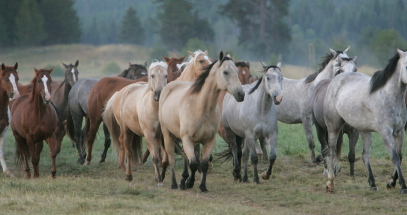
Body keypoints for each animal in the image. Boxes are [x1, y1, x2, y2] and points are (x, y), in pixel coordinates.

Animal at [158, 51, 244, 191]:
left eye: (237, 71)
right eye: (225, 72)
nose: (241, 94)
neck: (201, 107)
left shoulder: (209, 140)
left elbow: (203, 164)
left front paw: (202, 186)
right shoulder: (187, 139)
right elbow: (193, 163)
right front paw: (189, 182)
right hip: (168, 135)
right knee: (172, 159)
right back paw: (175, 183)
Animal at [326, 49, 407, 194]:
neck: (389, 95)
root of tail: (336, 80)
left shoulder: (399, 131)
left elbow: (400, 156)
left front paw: (391, 183)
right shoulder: (386, 132)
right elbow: (395, 157)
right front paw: (402, 186)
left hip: (364, 131)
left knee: (365, 155)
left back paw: (372, 183)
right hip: (333, 126)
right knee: (331, 150)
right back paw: (330, 183)